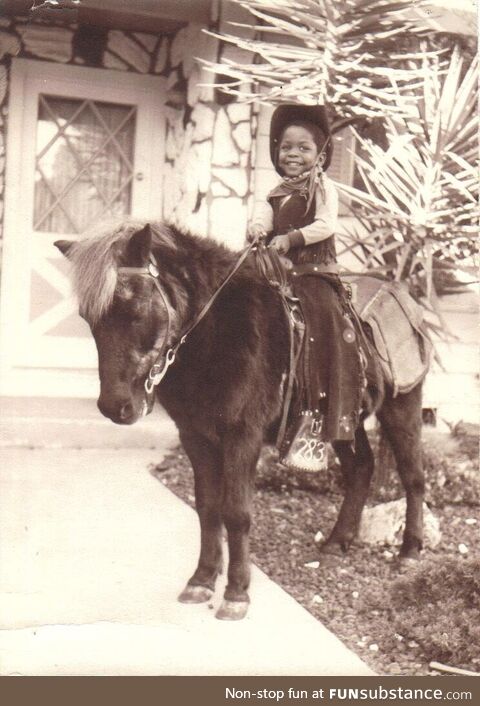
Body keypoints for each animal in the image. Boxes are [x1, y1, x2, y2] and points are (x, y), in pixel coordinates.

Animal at [54, 219, 426, 616]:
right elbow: (207, 508)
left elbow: (235, 512)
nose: (115, 406)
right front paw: (202, 580)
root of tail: (404, 294)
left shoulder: (242, 437)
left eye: (136, 310)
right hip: (343, 419)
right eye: (89, 319)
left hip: (402, 405)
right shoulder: (195, 437)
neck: (214, 334)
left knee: (413, 475)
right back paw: (336, 544)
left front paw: (236, 592)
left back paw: (410, 551)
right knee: (361, 469)